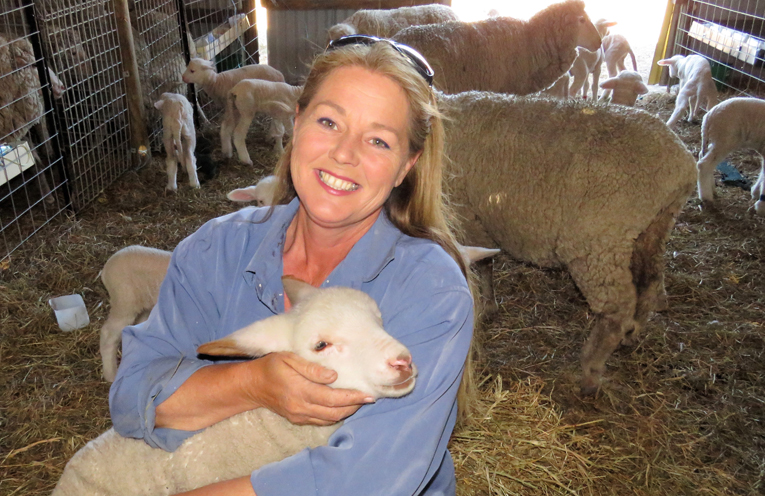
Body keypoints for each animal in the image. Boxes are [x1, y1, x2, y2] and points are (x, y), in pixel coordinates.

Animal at [436, 92, 700, 396]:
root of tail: (683, 164)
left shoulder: (464, 217)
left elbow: (477, 266)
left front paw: (482, 308)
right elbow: (485, 263)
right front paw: (489, 306)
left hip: (596, 239)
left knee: (617, 307)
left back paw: (591, 371)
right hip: (654, 227)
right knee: (650, 283)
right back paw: (631, 336)